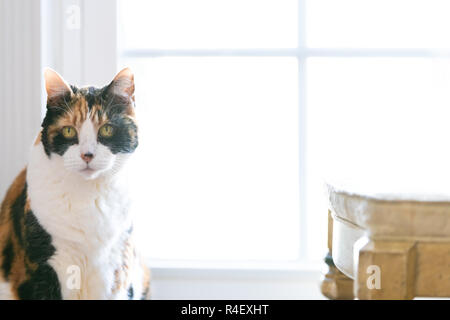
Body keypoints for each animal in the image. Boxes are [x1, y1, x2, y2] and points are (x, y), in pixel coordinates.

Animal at [0, 68, 151, 300]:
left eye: (107, 130)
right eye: (69, 131)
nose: (87, 155)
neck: (90, 198)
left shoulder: (116, 267)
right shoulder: (43, 265)